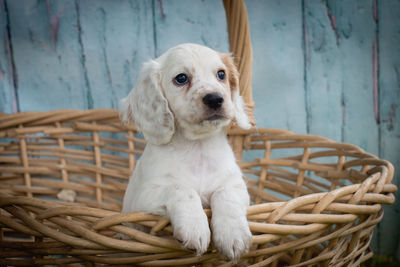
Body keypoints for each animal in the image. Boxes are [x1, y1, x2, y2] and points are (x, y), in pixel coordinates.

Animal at [119, 43, 252, 262]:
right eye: (181, 78)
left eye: (221, 74)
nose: (215, 99)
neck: (198, 148)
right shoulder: (143, 198)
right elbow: (182, 189)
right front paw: (195, 228)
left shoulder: (236, 185)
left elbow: (225, 195)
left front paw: (233, 235)